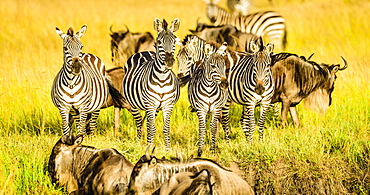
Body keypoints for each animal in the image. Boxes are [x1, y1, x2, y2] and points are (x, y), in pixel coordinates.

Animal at [123, 18, 181, 148]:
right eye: (159, 42)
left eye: (174, 41)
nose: (169, 62)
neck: (162, 80)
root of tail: (144, 52)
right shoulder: (150, 104)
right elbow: (151, 128)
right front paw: (149, 147)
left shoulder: (168, 105)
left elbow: (165, 128)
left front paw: (167, 149)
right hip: (134, 104)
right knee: (139, 123)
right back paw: (138, 142)